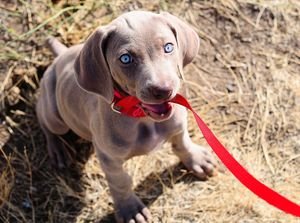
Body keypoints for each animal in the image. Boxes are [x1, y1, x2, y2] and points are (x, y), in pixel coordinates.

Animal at [37, 10, 216, 223]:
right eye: (125, 59)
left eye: (168, 47)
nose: (163, 90)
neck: (144, 119)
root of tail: (62, 55)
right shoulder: (109, 158)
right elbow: (120, 182)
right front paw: (130, 209)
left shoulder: (178, 123)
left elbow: (182, 141)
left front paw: (196, 159)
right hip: (55, 115)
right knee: (44, 120)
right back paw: (57, 149)